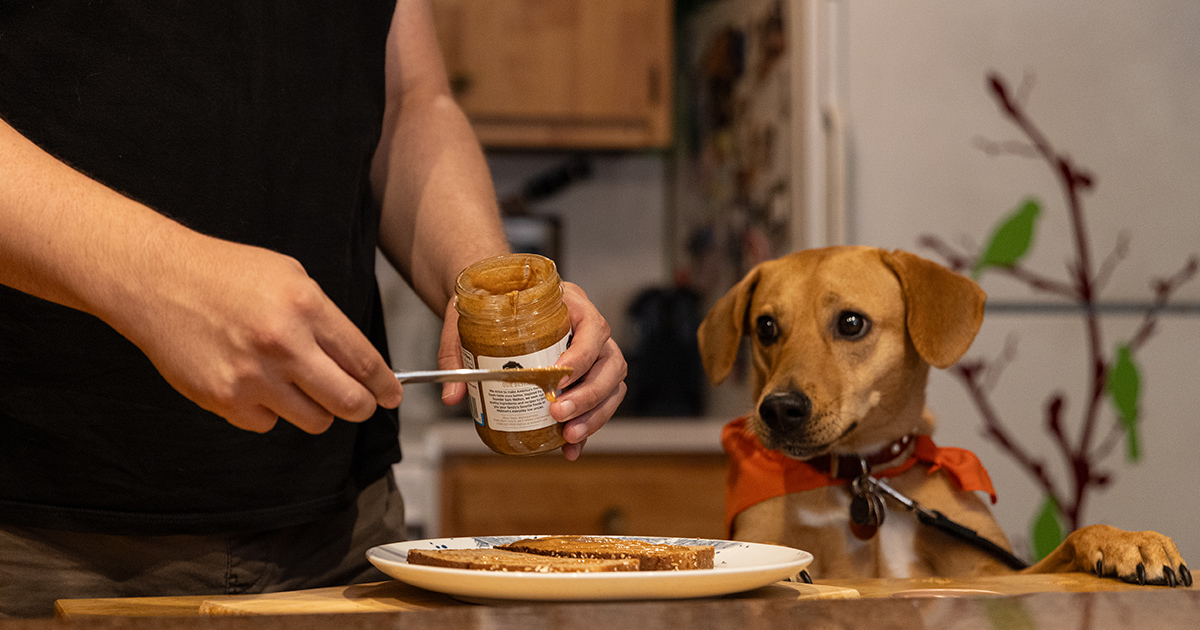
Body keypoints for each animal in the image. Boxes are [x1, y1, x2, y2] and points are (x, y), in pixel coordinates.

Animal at [700, 246, 1185, 585]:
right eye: (765, 327)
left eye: (851, 323)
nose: (779, 409)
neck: (860, 477)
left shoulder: (999, 574)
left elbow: (1071, 540)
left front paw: (1129, 541)